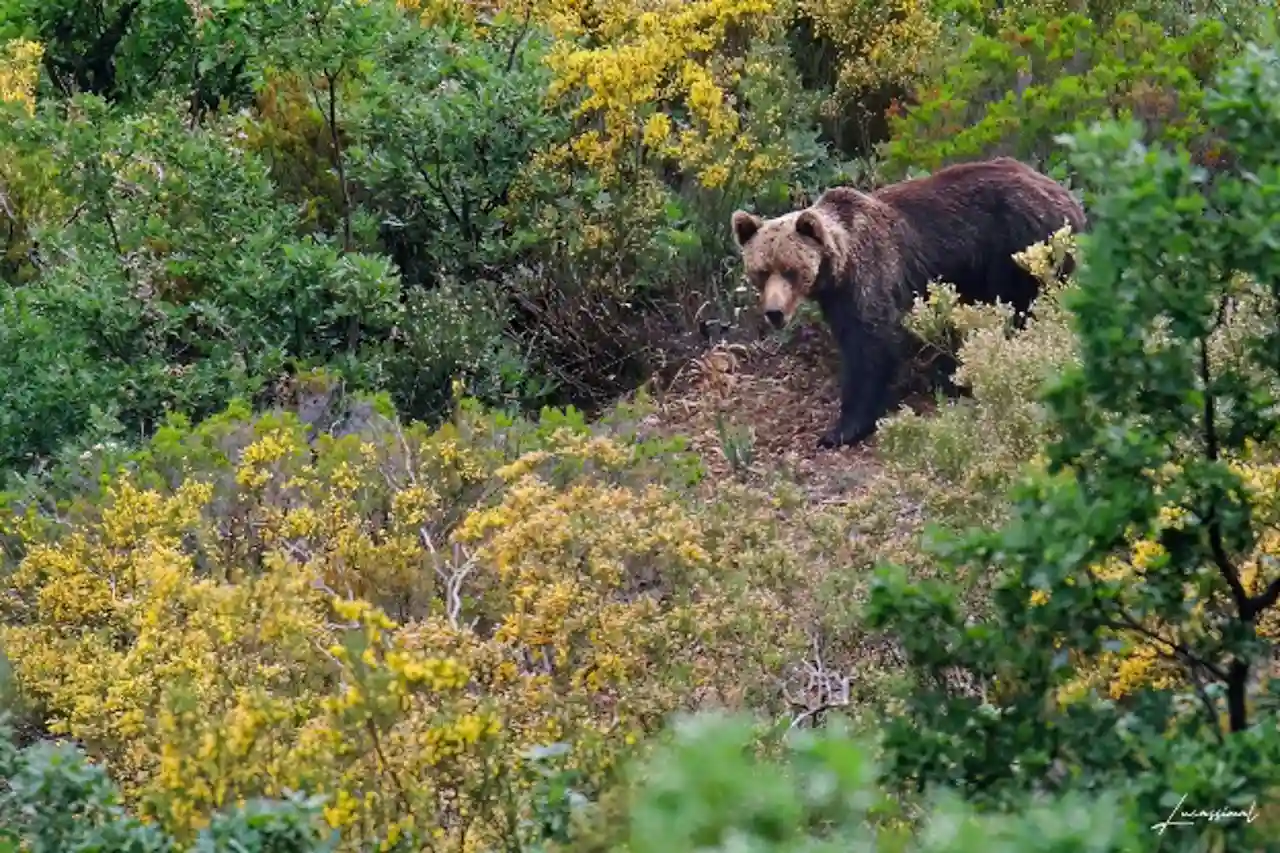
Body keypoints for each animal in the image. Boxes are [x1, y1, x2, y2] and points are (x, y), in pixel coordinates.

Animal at [730, 156, 1087, 449]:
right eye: (761, 271)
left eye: (791, 270)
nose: (774, 313)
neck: (839, 268)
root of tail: (1071, 201)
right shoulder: (836, 298)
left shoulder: (871, 277)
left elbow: (872, 346)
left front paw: (841, 429)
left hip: (1018, 248)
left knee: (1020, 307)